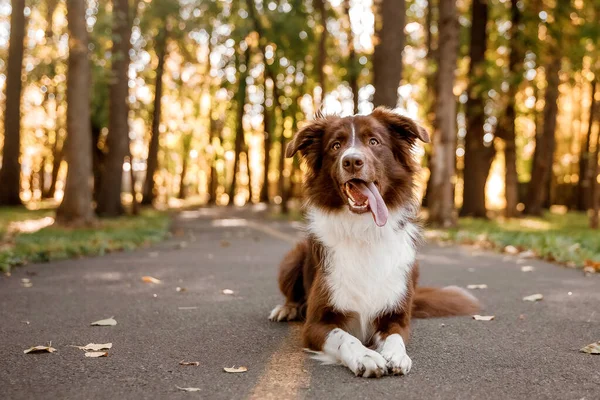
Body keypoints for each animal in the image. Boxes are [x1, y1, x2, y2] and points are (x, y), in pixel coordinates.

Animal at [270, 107, 480, 378]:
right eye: (336, 145)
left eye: (374, 142)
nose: (352, 161)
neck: (364, 231)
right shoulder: (316, 324)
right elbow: (345, 338)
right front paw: (366, 356)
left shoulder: (396, 317)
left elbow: (395, 337)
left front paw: (395, 355)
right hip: (294, 255)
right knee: (292, 294)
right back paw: (287, 308)